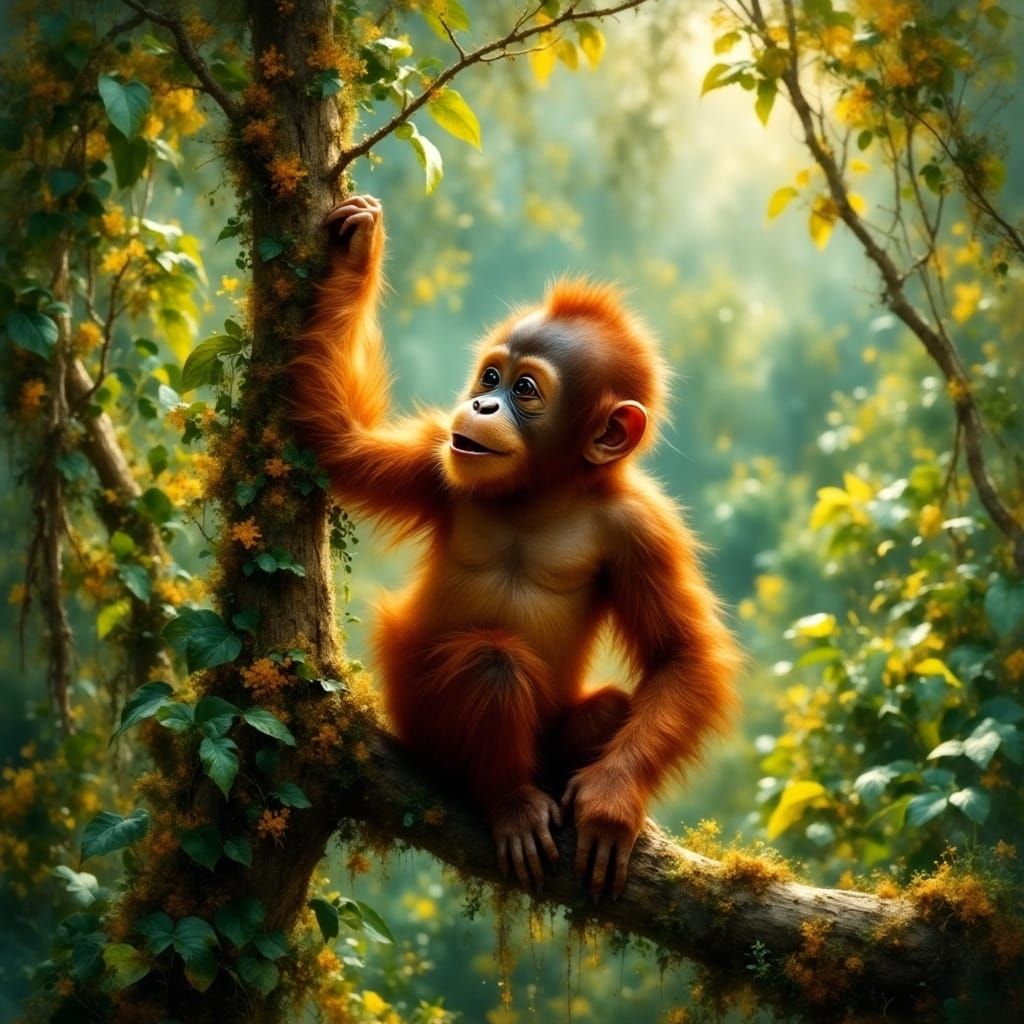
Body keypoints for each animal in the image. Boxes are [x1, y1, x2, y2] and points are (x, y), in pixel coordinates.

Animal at [293, 194, 741, 899]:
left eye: (524, 390)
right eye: (490, 376)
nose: (480, 404)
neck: (540, 493)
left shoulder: (644, 528)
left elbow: (683, 655)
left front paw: (613, 802)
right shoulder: (437, 459)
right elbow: (337, 438)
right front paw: (358, 250)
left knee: (608, 706)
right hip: (421, 719)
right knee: (493, 664)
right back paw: (512, 804)